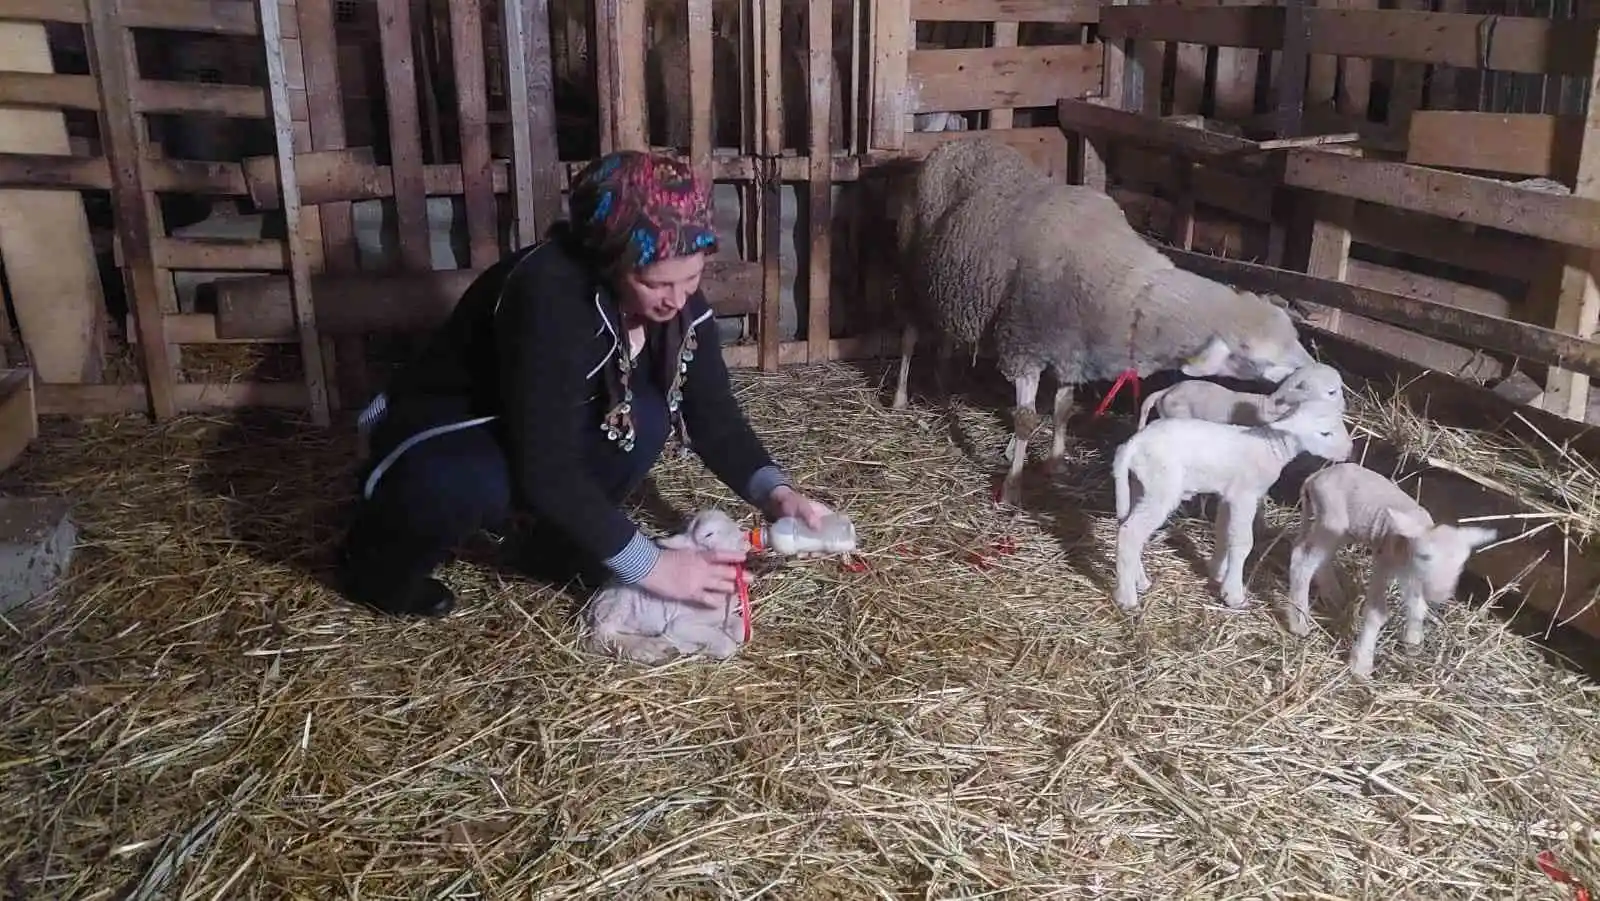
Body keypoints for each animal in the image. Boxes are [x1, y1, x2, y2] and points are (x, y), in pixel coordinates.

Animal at [579, 512, 752, 665]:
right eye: (709, 534)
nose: (745, 541)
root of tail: (593, 609)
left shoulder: (722, 618)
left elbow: (741, 630)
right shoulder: (682, 624)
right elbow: (727, 646)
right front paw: (702, 647)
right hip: (618, 605)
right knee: (601, 637)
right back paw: (651, 650)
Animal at [889, 140, 1312, 508]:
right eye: (1253, 357)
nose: (1311, 370)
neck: (1115, 283)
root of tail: (952, 144)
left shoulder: (1070, 351)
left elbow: (1063, 409)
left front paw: (1056, 464)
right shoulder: (1023, 345)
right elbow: (1025, 421)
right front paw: (1012, 486)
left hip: (949, 284)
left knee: (945, 334)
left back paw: (944, 382)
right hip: (910, 272)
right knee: (909, 336)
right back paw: (899, 398)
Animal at [1113, 400, 1350, 614]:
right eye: (1325, 433)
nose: (1348, 451)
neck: (1271, 447)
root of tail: (1132, 445)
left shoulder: (1229, 495)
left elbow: (1224, 533)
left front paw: (1218, 573)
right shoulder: (1244, 496)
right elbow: (1243, 542)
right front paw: (1234, 594)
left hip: (1139, 486)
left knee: (1131, 530)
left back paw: (1140, 581)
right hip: (1161, 488)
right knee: (1129, 533)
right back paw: (1127, 598)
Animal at [1286, 460, 1497, 681]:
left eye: (1461, 564)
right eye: (1425, 556)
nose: (1440, 595)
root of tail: (1315, 477)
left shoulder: (1412, 575)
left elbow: (1417, 605)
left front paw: (1413, 641)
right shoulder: (1385, 560)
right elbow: (1377, 612)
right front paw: (1361, 664)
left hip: (1340, 528)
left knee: (1313, 555)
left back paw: (1335, 596)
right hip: (1331, 520)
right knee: (1303, 561)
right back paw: (1299, 622)